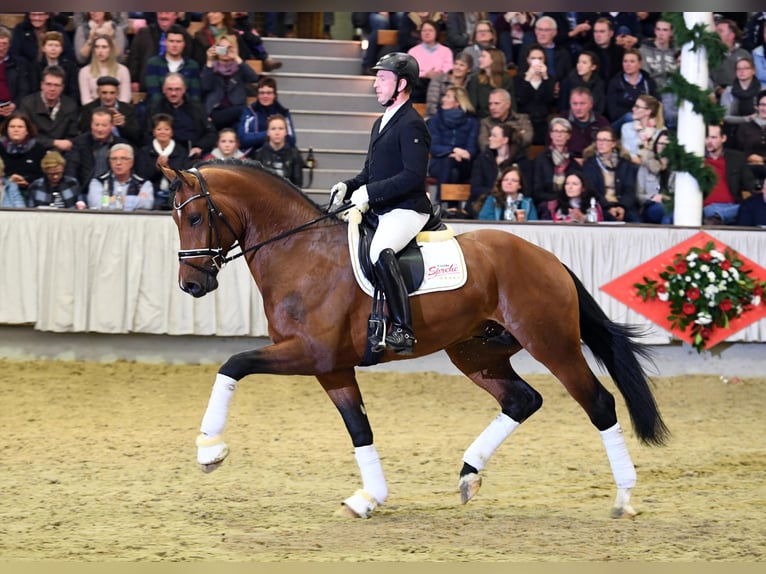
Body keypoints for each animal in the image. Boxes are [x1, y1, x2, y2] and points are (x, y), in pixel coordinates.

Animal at [165, 161, 668, 520]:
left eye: (195, 216)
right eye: (175, 218)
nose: (191, 285)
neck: (299, 253)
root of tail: (546, 257)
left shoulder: (309, 353)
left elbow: (233, 364)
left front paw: (209, 449)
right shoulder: (332, 367)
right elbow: (360, 428)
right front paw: (369, 497)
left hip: (553, 344)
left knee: (599, 403)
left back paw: (623, 498)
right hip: (475, 352)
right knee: (521, 400)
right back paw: (469, 474)